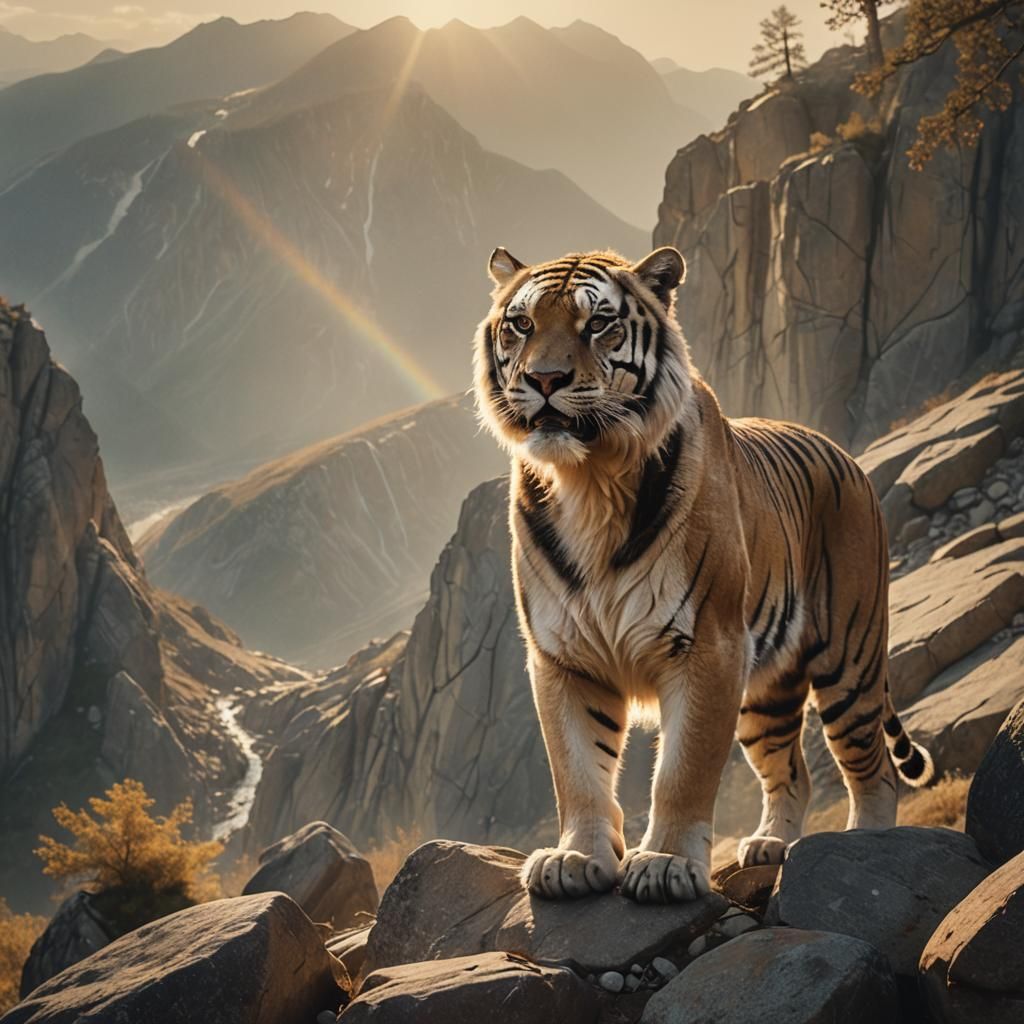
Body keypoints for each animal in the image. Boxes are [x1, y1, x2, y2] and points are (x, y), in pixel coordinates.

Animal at [472, 245, 934, 903]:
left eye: (598, 323)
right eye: (522, 324)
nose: (544, 379)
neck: (589, 482)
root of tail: (846, 456)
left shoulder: (709, 646)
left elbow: (683, 770)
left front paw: (664, 864)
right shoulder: (562, 656)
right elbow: (578, 767)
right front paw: (575, 859)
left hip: (849, 660)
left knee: (873, 767)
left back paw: (866, 840)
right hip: (765, 696)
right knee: (792, 771)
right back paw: (771, 844)